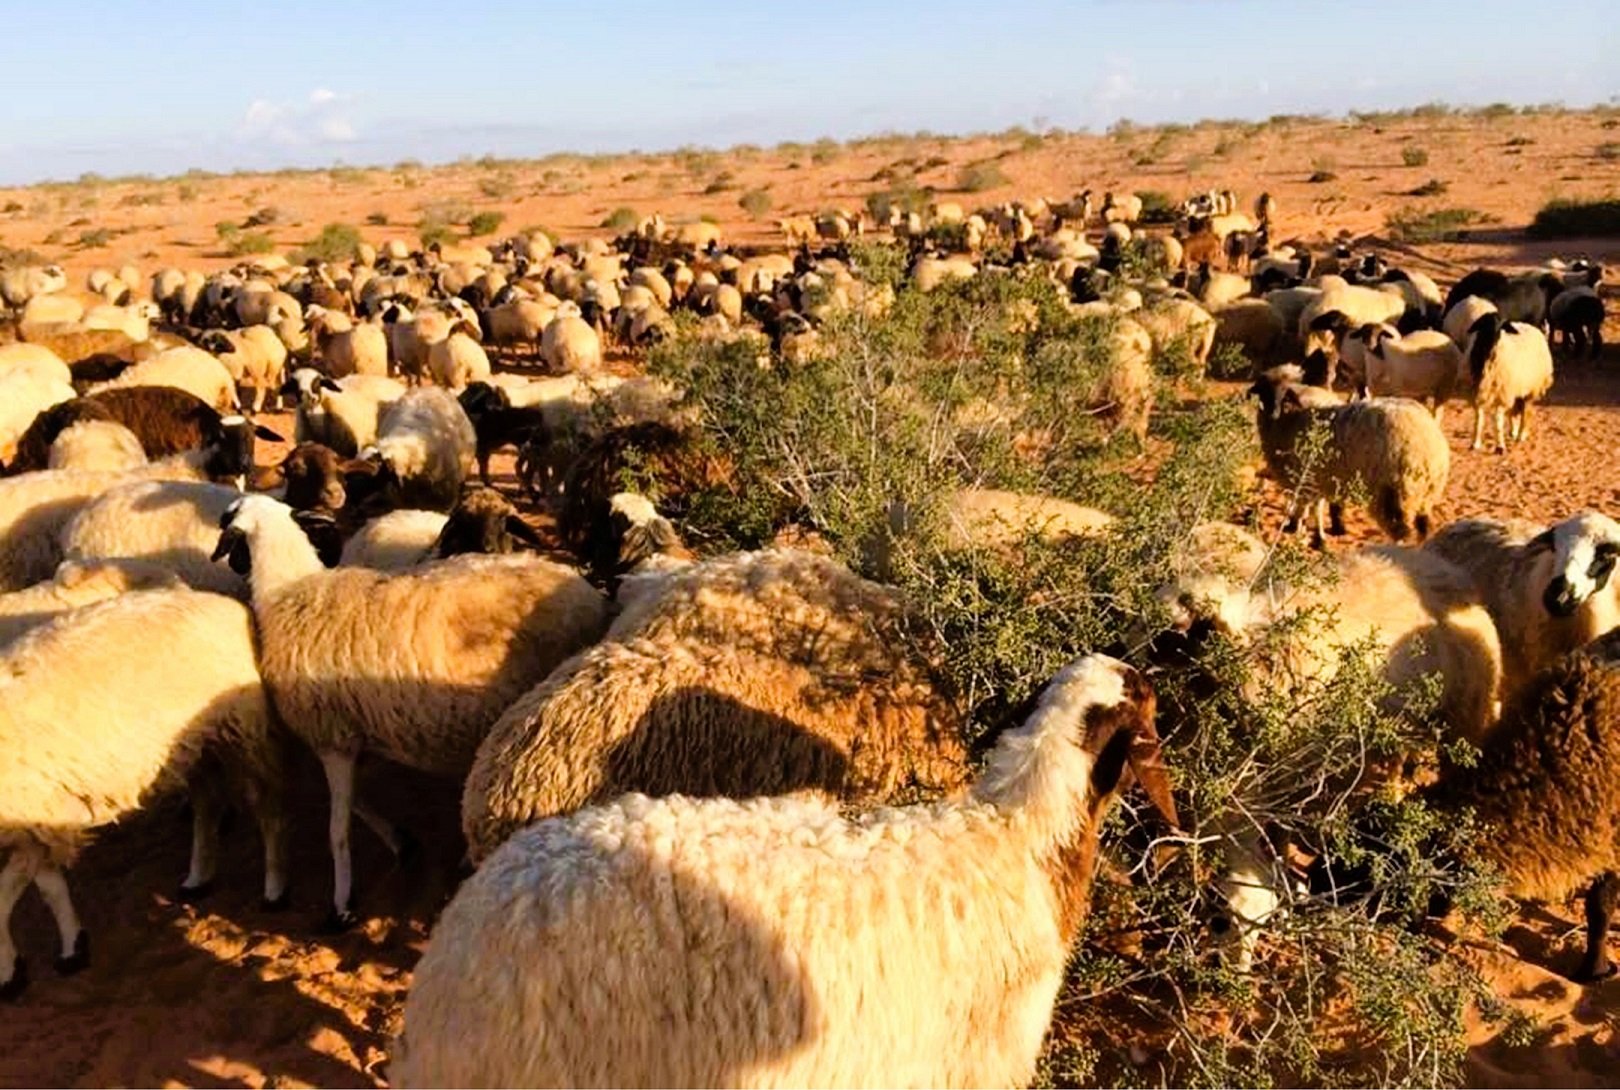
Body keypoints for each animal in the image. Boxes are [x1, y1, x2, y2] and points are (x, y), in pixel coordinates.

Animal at [212, 498, 609, 919]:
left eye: (228, 526)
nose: (228, 565)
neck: (285, 592)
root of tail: (587, 593)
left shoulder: (333, 738)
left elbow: (338, 829)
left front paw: (342, 904)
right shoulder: (353, 736)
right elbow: (359, 803)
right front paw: (400, 841)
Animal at [1244, 366, 1451, 547]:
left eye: (1285, 393)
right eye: (1263, 390)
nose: (1273, 412)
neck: (1289, 419)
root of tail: (1429, 450)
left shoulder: (1306, 479)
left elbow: (1305, 510)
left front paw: (1302, 535)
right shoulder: (1320, 479)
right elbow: (1314, 508)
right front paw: (1315, 538)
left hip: (1392, 493)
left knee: (1401, 531)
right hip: (1426, 495)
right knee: (1423, 529)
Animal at [1464, 312, 1548, 453]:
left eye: (1501, 328)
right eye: (1484, 324)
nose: (1493, 342)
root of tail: (1531, 326)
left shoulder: (1502, 394)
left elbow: (1498, 421)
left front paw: (1500, 446)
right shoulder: (1477, 392)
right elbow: (1478, 420)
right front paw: (1475, 444)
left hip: (1530, 389)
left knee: (1525, 412)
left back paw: (1521, 435)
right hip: (1517, 388)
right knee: (1515, 411)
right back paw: (1513, 432)